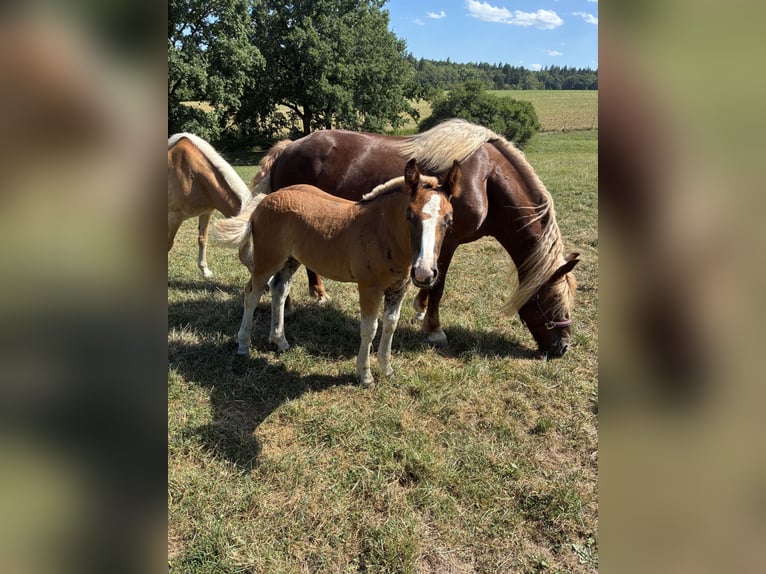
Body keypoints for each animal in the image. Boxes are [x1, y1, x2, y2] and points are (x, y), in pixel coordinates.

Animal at [214, 158, 462, 386]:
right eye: (409, 215)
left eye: (449, 220)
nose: (424, 273)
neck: (383, 231)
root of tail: (264, 200)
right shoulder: (369, 288)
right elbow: (369, 328)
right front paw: (365, 375)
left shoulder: (398, 288)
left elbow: (390, 324)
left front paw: (387, 368)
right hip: (268, 259)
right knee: (252, 295)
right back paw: (243, 345)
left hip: (291, 260)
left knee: (279, 291)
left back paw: (280, 341)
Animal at [244, 119, 580, 357]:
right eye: (552, 300)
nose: (563, 347)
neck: (487, 177)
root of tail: (288, 147)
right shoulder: (448, 241)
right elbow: (438, 286)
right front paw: (434, 330)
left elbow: (430, 284)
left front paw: (419, 309)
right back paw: (290, 308)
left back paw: (317, 293)